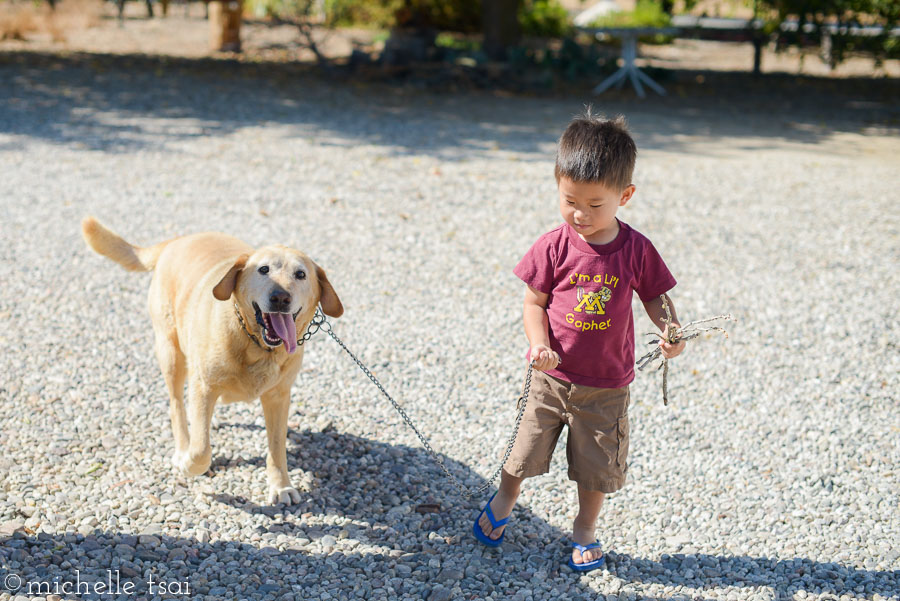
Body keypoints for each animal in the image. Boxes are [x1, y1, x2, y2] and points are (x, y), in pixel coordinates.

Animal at [81, 218, 342, 504]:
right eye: (263, 269)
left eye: (300, 274)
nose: (281, 297)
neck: (255, 345)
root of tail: (176, 240)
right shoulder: (204, 387)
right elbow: (201, 449)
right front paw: (189, 463)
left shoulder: (278, 397)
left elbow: (276, 449)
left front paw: (281, 486)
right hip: (170, 353)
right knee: (177, 407)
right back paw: (182, 447)